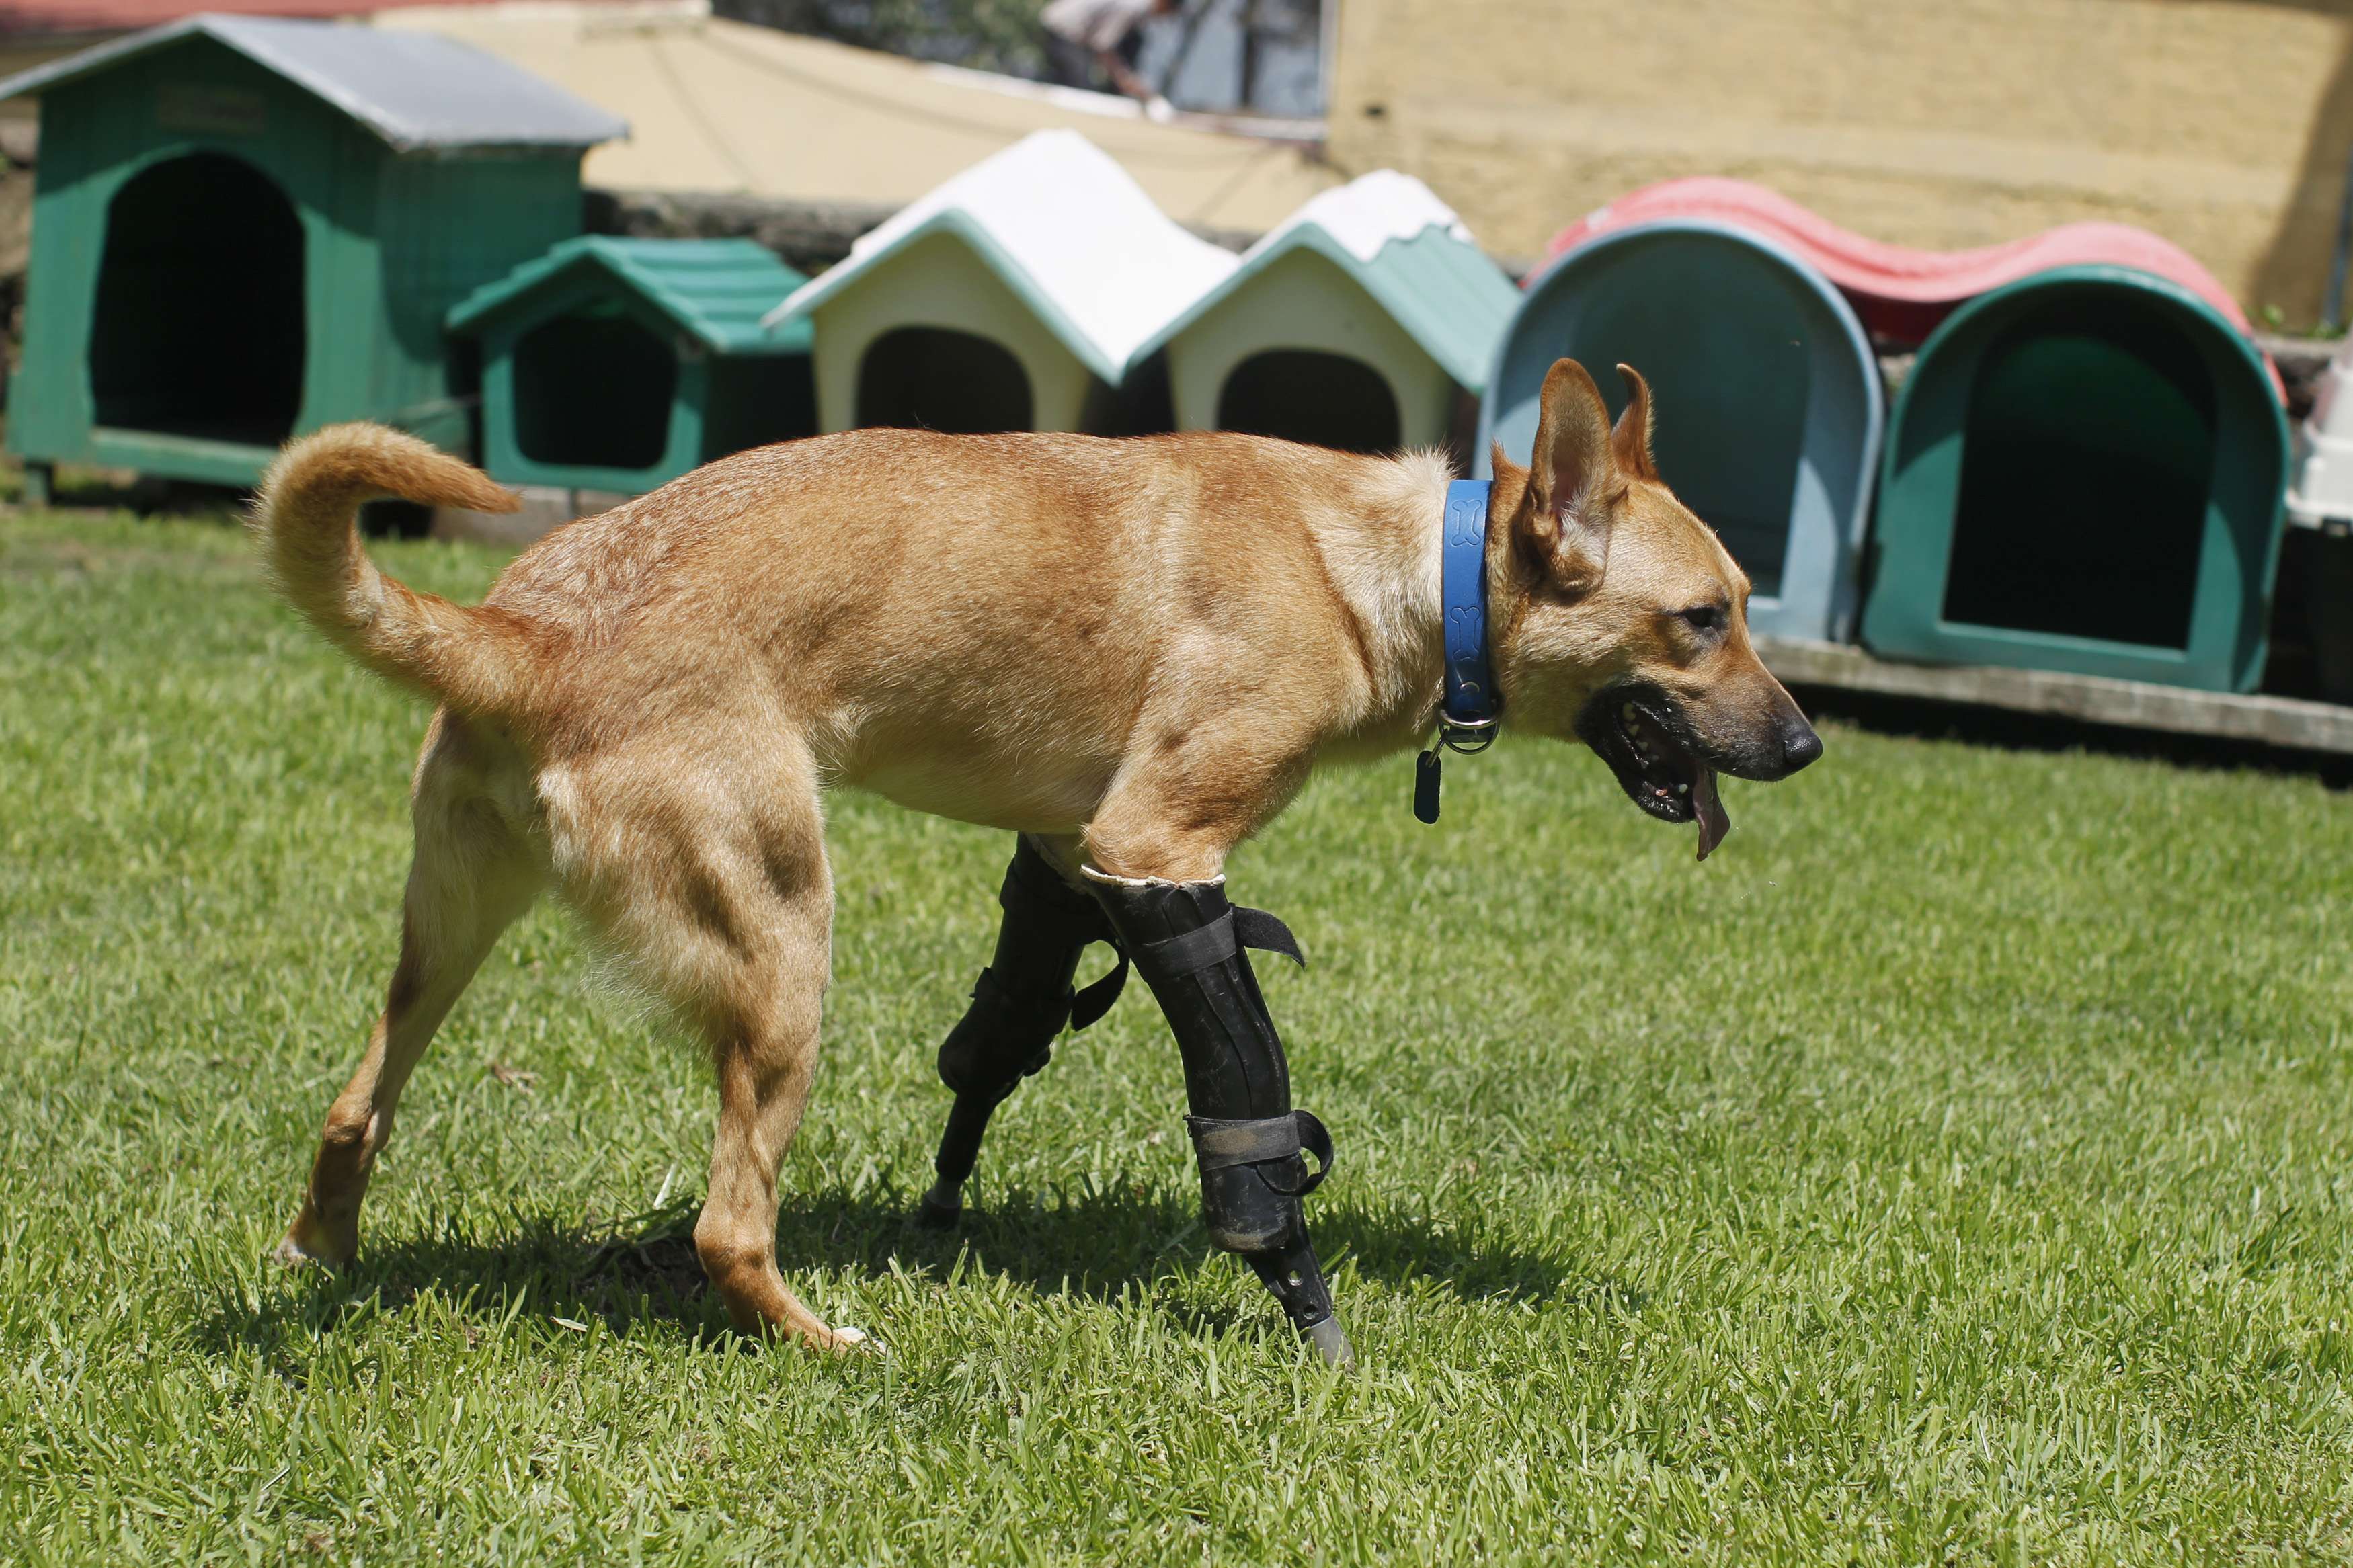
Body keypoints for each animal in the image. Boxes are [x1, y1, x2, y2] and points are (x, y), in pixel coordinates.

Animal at [255, 357, 1820, 1359]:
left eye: (1748, 604)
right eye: (1701, 620)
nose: (1807, 743)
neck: (1394, 568)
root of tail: (521, 634)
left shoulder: (1077, 851)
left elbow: (1005, 1039)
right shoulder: (1158, 842)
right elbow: (1244, 1099)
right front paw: (1301, 1304)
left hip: (446, 934)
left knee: (353, 1108)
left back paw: (320, 1253)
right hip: (785, 948)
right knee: (725, 1226)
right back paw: (829, 1340)